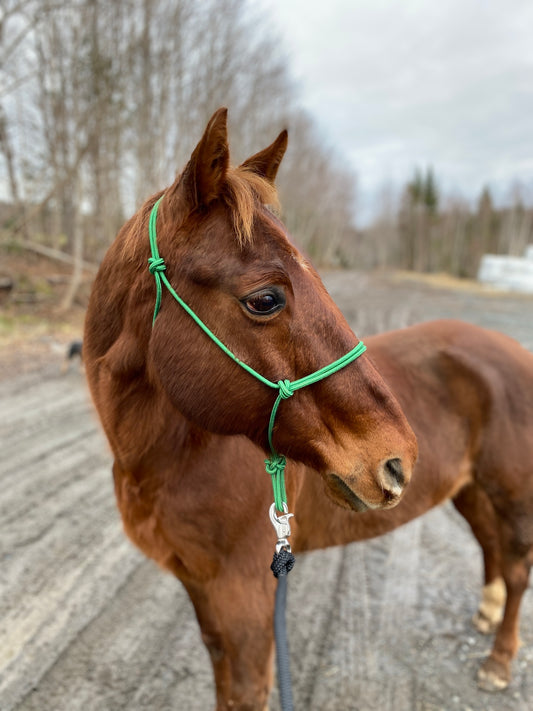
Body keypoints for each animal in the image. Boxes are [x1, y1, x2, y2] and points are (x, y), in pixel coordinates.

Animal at [84, 109, 533, 709]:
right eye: (265, 299)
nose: (397, 460)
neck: (175, 456)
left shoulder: (246, 603)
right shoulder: (206, 597)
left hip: (512, 495)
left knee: (517, 568)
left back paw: (499, 661)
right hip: (470, 488)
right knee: (490, 547)